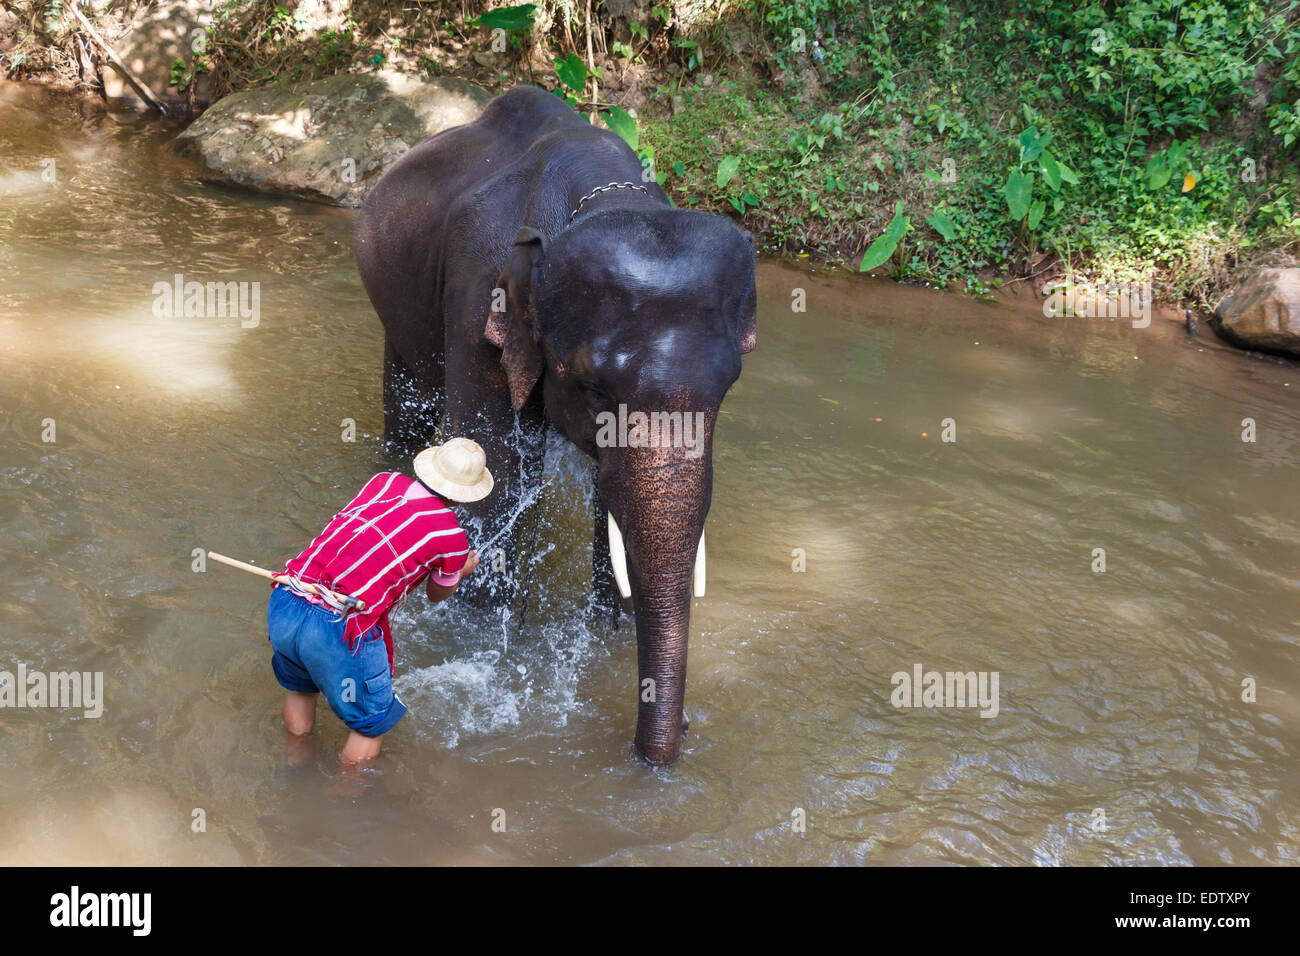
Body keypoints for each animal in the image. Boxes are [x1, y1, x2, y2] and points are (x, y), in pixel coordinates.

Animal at [361, 85, 759, 764]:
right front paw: (483, 632)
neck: (603, 197)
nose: (681, 730)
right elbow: (496, 471)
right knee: (408, 411)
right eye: (592, 384)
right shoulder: (477, 298)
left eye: (728, 387)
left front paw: (608, 629)